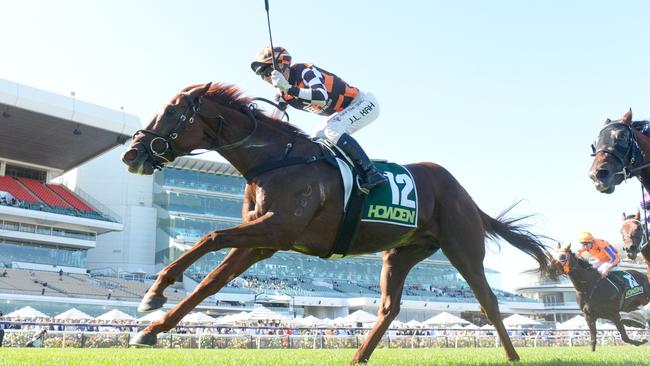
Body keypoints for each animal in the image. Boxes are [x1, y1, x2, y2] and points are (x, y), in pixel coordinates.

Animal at [120, 83, 548, 364]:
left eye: (171, 112)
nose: (132, 153)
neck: (276, 159)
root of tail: (464, 194)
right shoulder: (261, 243)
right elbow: (210, 282)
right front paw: (150, 328)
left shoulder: (277, 230)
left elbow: (209, 235)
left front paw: (154, 293)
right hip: (400, 254)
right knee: (389, 308)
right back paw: (358, 356)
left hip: (463, 248)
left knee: (489, 302)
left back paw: (512, 357)